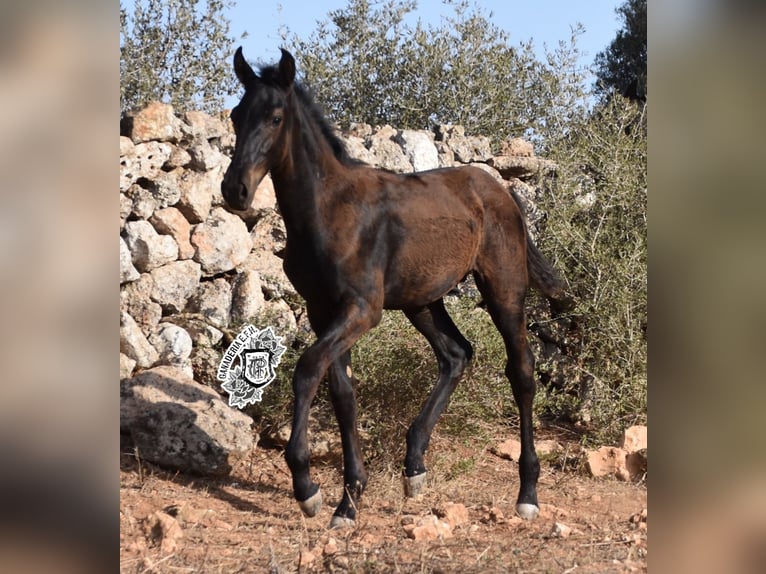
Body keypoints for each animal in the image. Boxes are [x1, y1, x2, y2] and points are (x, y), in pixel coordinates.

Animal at [219, 47, 572, 528]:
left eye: (275, 118)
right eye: (236, 115)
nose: (234, 190)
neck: (329, 210)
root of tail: (502, 191)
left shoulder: (362, 309)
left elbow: (307, 370)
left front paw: (307, 487)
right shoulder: (323, 310)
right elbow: (343, 394)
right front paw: (349, 499)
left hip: (504, 290)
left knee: (521, 371)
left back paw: (527, 493)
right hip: (421, 300)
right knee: (457, 354)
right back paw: (414, 467)